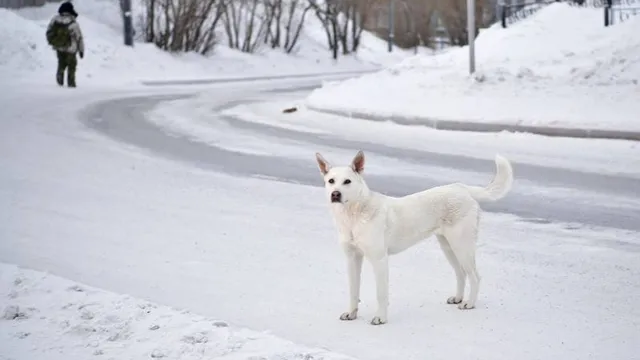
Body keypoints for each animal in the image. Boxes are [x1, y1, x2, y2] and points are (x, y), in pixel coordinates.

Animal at [316, 150, 516, 324]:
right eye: (331, 181)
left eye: (347, 181)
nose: (335, 194)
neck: (354, 216)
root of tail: (462, 188)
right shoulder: (352, 258)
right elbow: (353, 290)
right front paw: (351, 314)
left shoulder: (379, 260)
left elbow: (381, 294)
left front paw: (381, 318)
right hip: (448, 247)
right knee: (461, 273)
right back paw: (459, 298)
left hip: (462, 246)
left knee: (474, 276)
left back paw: (469, 303)